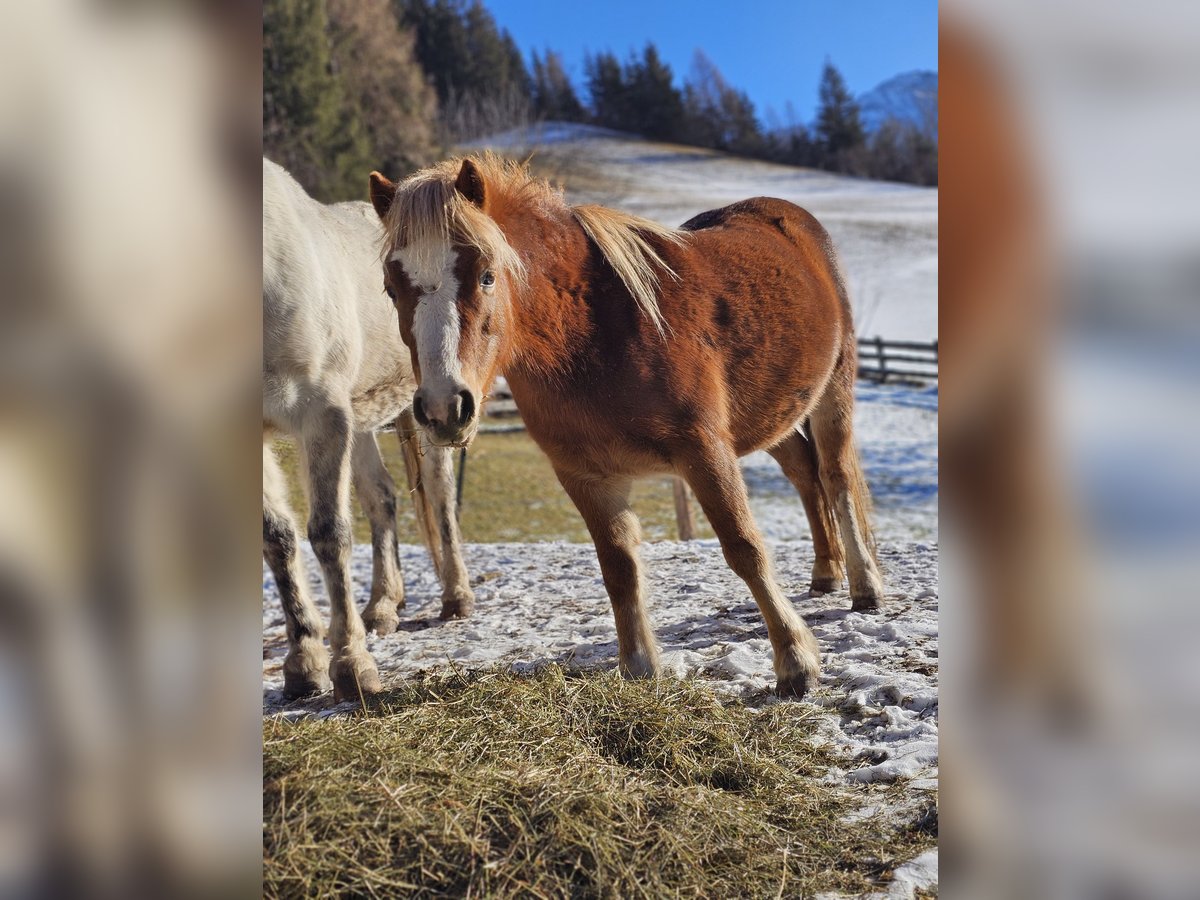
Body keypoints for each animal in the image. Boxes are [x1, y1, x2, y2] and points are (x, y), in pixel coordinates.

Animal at [262, 158, 472, 700]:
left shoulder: (321, 415)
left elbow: (329, 535)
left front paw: (351, 667)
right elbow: (278, 539)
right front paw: (304, 662)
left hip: (427, 410)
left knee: (439, 496)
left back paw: (456, 598)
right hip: (359, 423)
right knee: (383, 497)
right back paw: (381, 607)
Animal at [364, 154, 883, 696]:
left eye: (486, 275)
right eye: (390, 288)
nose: (444, 407)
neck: (595, 332)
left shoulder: (705, 451)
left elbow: (744, 547)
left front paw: (795, 660)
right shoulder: (585, 476)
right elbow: (618, 568)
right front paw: (640, 668)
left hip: (832, 394)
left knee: (835, 477)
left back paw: (864, 586)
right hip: (771, 417)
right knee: (805, 472)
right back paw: (826, 572)